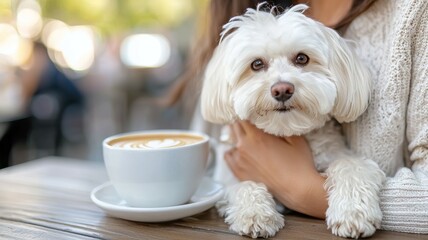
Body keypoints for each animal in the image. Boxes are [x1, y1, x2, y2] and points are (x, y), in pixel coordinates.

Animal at [200, 2, 384, 239]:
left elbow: (351, 165)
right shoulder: (227, 178)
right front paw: (255, 214)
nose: (282, 90)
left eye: (302, 58)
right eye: (256, 64)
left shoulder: (337, 155)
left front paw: (353, 212)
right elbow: (244, 185)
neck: (287, 131)